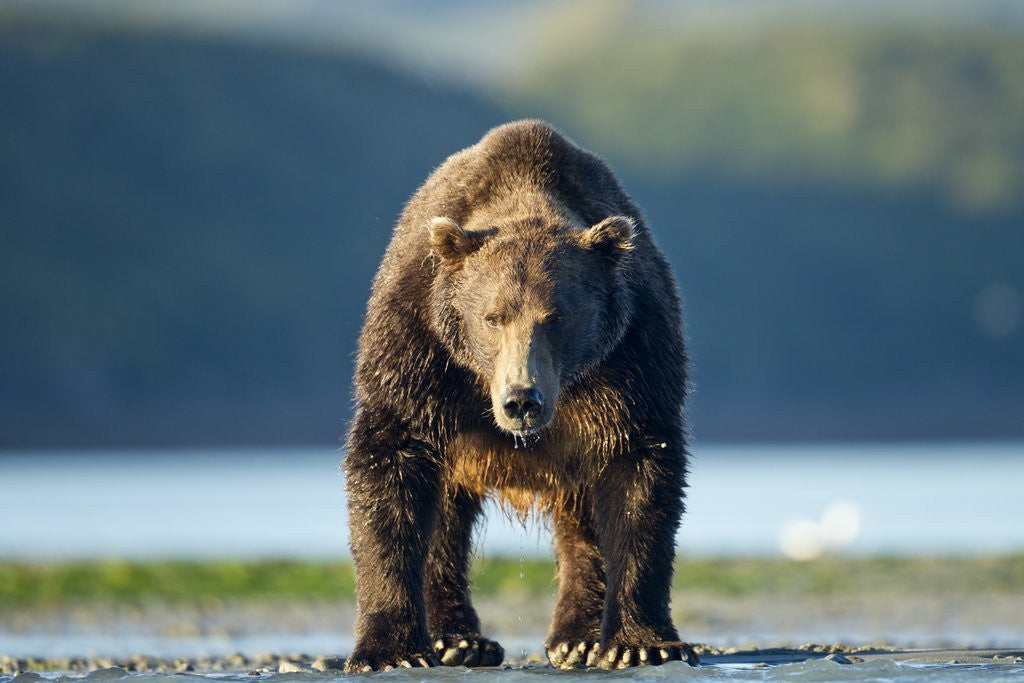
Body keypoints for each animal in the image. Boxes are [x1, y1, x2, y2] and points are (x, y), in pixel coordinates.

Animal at [343, 120, 695, 671]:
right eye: (493, 316)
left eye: (558, 317)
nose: (521, 400)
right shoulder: (420, 346)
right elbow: (390, 467)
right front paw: (390, 650)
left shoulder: (633, 356)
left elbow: (640, 479)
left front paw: (640, 643)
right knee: (445, 523)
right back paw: (459, 640)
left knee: (581, 523)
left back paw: (576, 637)